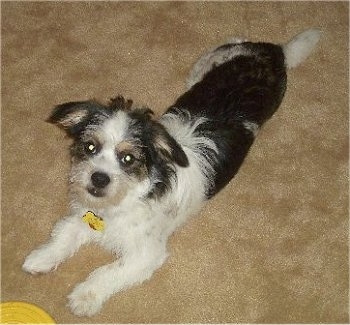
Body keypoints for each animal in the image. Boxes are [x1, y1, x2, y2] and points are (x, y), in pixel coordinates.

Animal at [23, 29, 322, 316]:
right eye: (90, 147)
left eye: (128, 158)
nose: (98, 178)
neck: (132, 196)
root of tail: (273, 50)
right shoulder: (84, 214)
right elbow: (64, 234)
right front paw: (41, 257)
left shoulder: (146, 254)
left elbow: (107, 272)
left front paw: (84, 297)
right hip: (209, 61)